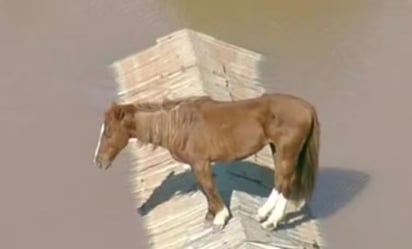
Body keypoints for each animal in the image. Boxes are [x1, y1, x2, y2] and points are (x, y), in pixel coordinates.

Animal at [94, 93, 322, 231]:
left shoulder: (200, 163)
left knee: (287, 182)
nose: (98, 162)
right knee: (280, 180)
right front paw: (211, 215)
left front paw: (220, 217)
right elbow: (205, 190)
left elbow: (209, 188)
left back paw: (271, 221)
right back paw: (263, 213)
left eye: (108, 132)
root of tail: (306, 106)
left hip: (287, 150)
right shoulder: (198, 165)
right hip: (277, 149)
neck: (179, 126)